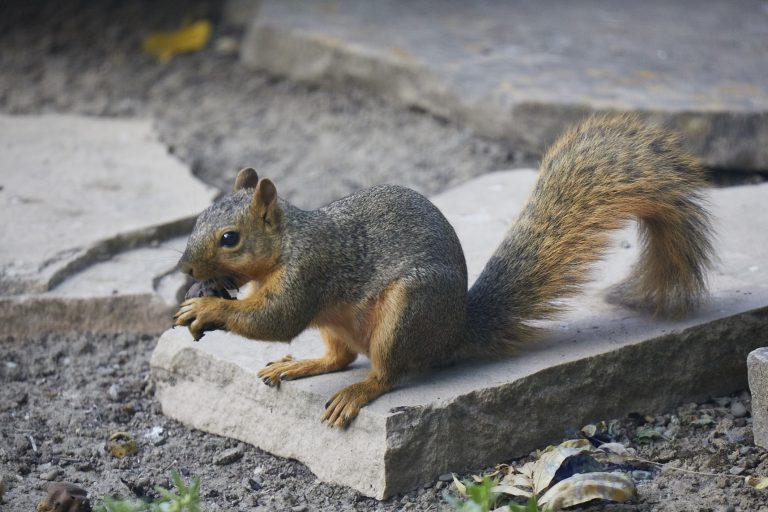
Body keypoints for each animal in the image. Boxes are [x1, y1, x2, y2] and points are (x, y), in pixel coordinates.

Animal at [174, 114, 715, 428]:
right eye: (199, 219)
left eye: (230, 238)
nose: (185, 266)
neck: (288, 241)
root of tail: (454, 332)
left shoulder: (311, 271)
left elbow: (279, 318)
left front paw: (206, 307)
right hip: (344, 324)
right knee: (339, 357)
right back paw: (301, 364)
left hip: (407, 314)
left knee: (385, 372)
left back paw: (357, 393)